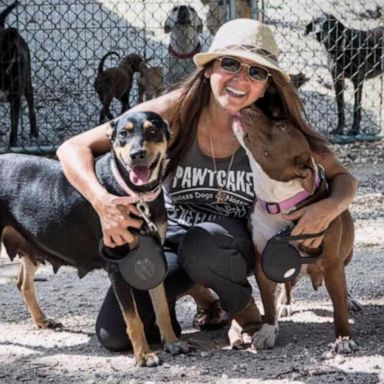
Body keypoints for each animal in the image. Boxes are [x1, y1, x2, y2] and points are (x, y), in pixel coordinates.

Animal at [0, 0, 37, 147]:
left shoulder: (16, 99)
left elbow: (14, 126)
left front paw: (12, 145)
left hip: (27, 83)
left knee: (31, 104)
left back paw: (34, 131)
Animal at [0, 110, 190, 366]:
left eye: (153, 131)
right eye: (123, 134)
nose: (137, 154)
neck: (135, 195)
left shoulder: (155, 256)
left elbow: (161, 307)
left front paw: (172, 342)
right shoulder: (117, 265)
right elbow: (133, 318)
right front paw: (143, 354)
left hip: (31, 245)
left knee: (23, 284)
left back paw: (42, 320)